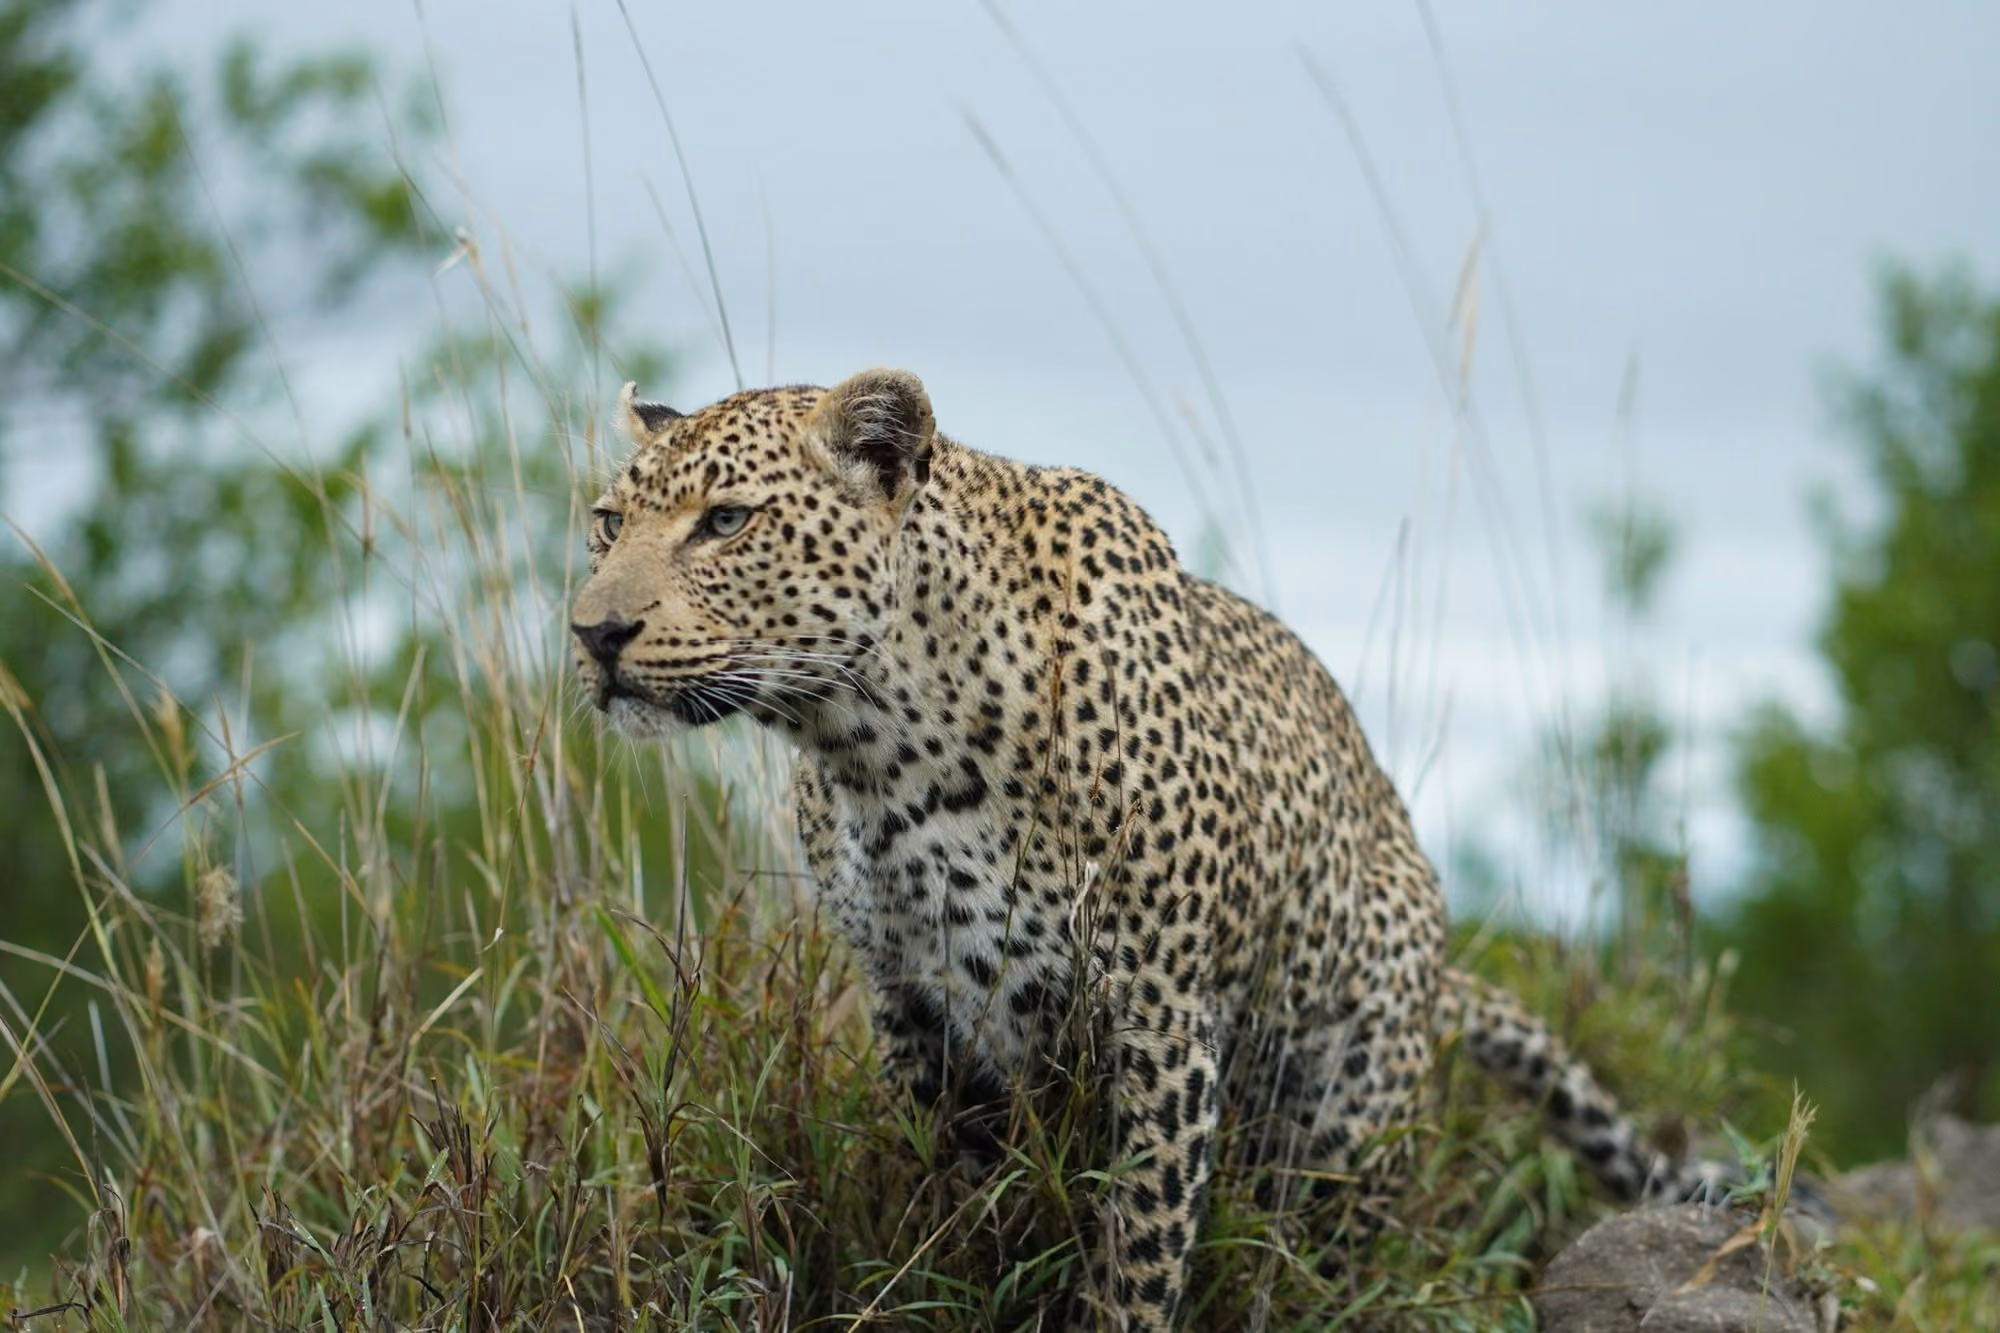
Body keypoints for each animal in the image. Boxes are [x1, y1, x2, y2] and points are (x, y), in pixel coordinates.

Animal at [570, 368, 1720, 1330]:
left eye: (725, 522)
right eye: (607, 523)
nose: (593, 634)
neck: (880, 752)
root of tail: (1440, 964)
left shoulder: (1159, 1012)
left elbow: (1140, 1241)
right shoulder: (911, 999)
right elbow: (967, 1217)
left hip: (1342, 1124)